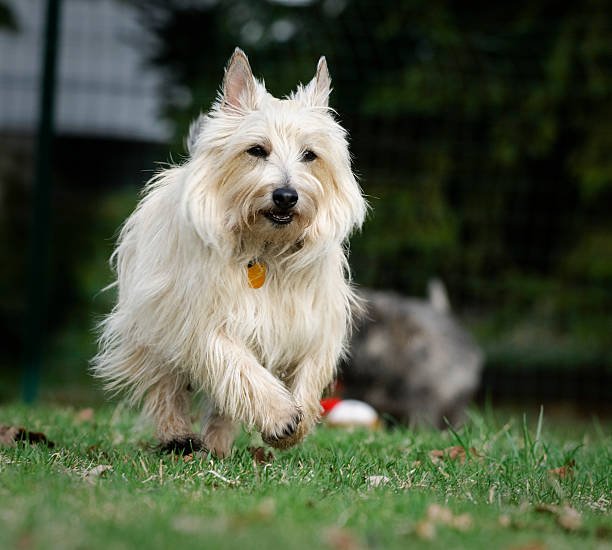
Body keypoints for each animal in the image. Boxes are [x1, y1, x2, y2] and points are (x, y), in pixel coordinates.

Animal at [93, 48, 366, 458]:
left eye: (310, 155)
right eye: (256, 150)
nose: (286, 196)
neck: (266, 248)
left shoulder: (312, 323)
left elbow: (307, 372)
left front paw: (297, 421)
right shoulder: (205, 322)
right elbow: (240, 367)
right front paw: (279, 416)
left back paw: (218, 444)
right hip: (152, 325)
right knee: (165, 387)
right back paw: (178, 436)